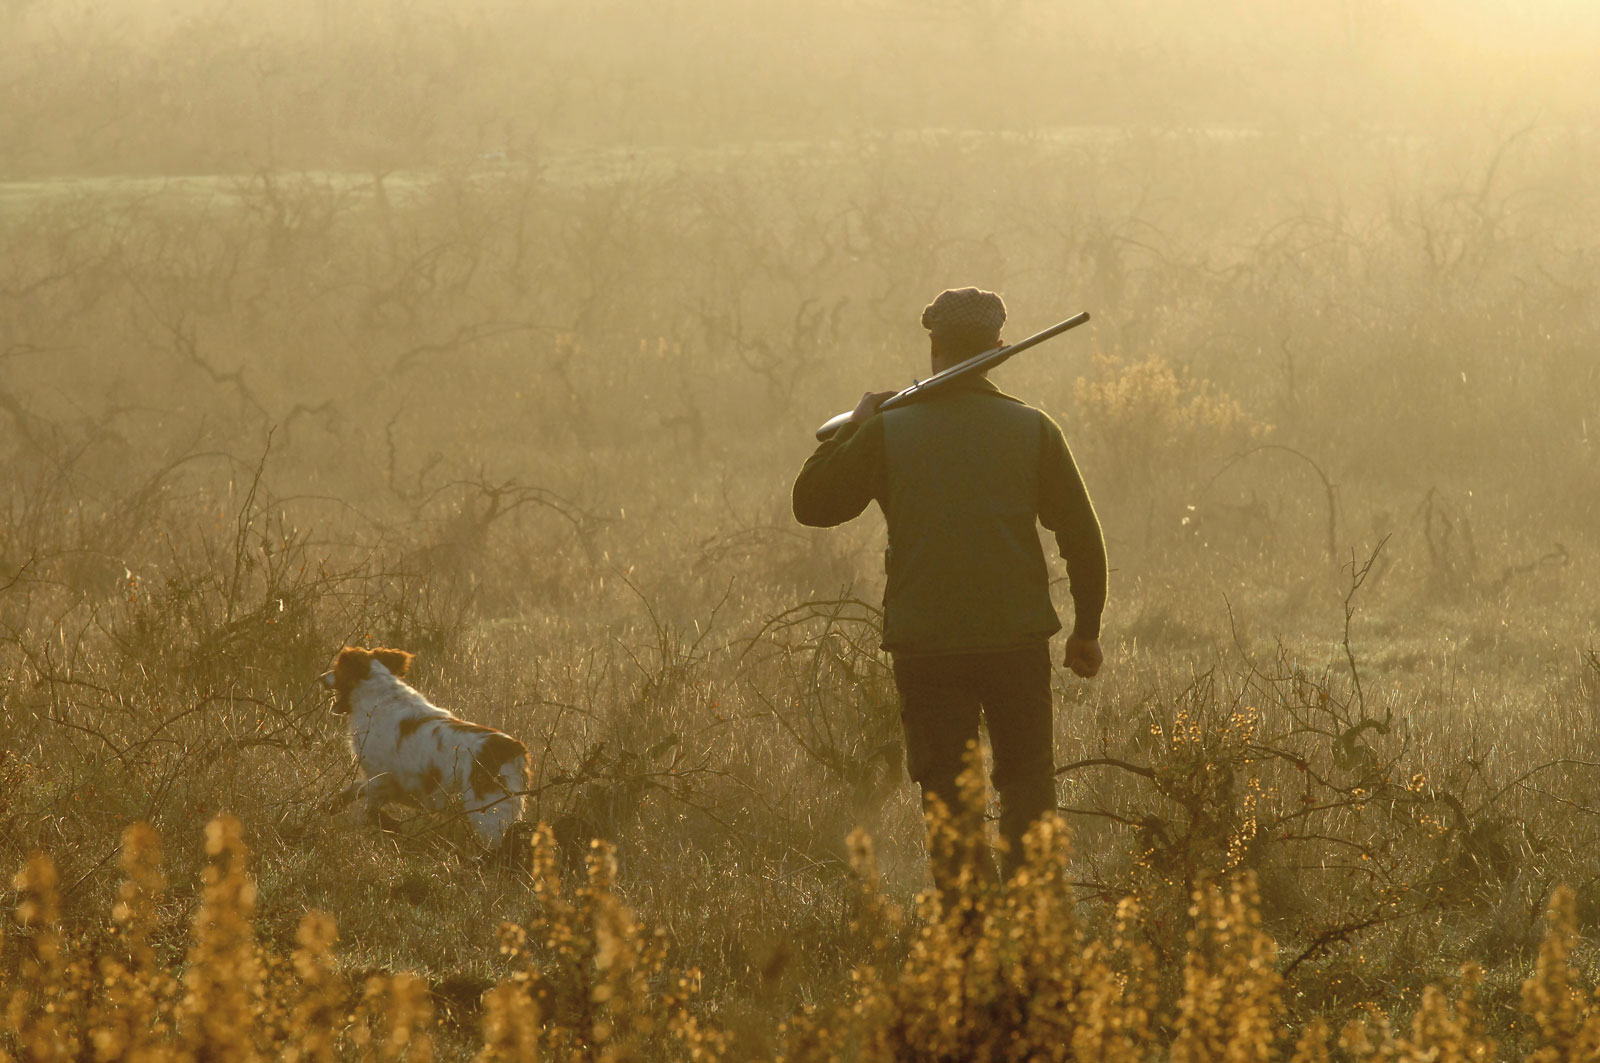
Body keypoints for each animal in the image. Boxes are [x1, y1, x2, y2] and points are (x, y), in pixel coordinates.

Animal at [320, 646, 531, 845]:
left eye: (337, 668)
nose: (321, 677)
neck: (380, 696)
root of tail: (513, 749)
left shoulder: (382, 779)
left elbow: (370, 808)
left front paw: (392, 826)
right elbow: (354, 789)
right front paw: (332, 806)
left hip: (488, 817)